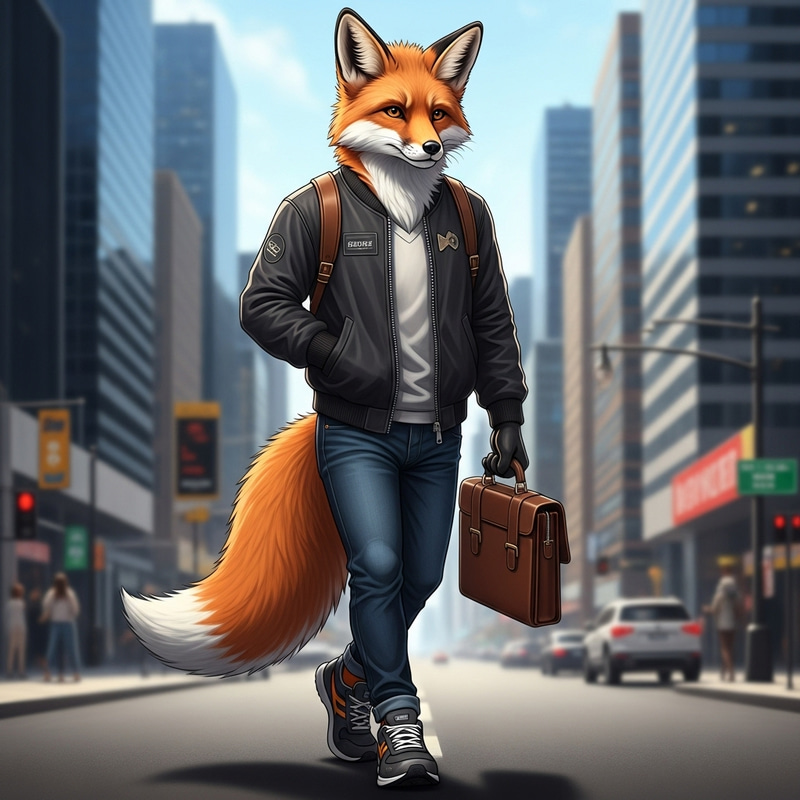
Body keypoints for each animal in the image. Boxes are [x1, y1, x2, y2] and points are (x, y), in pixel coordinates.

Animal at [120, 9, 488, 680]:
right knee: (388, 570)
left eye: (438, 113)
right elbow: (267, 301)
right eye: (395, 111)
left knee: (418, 575)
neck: (399, 205)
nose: (429, 148)